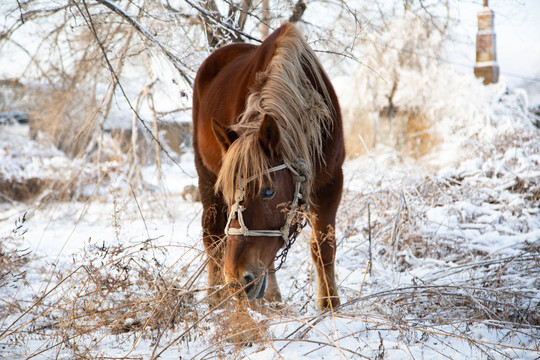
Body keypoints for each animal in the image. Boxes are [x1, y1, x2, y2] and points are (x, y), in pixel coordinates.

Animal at [194, 23, 344, 310]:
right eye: (230, 195)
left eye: (268, 191)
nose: (237, 279)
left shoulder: (331, 183)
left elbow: (324, 248)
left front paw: (330, 305)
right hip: (205, 176)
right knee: (213, 237)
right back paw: (218, 296)